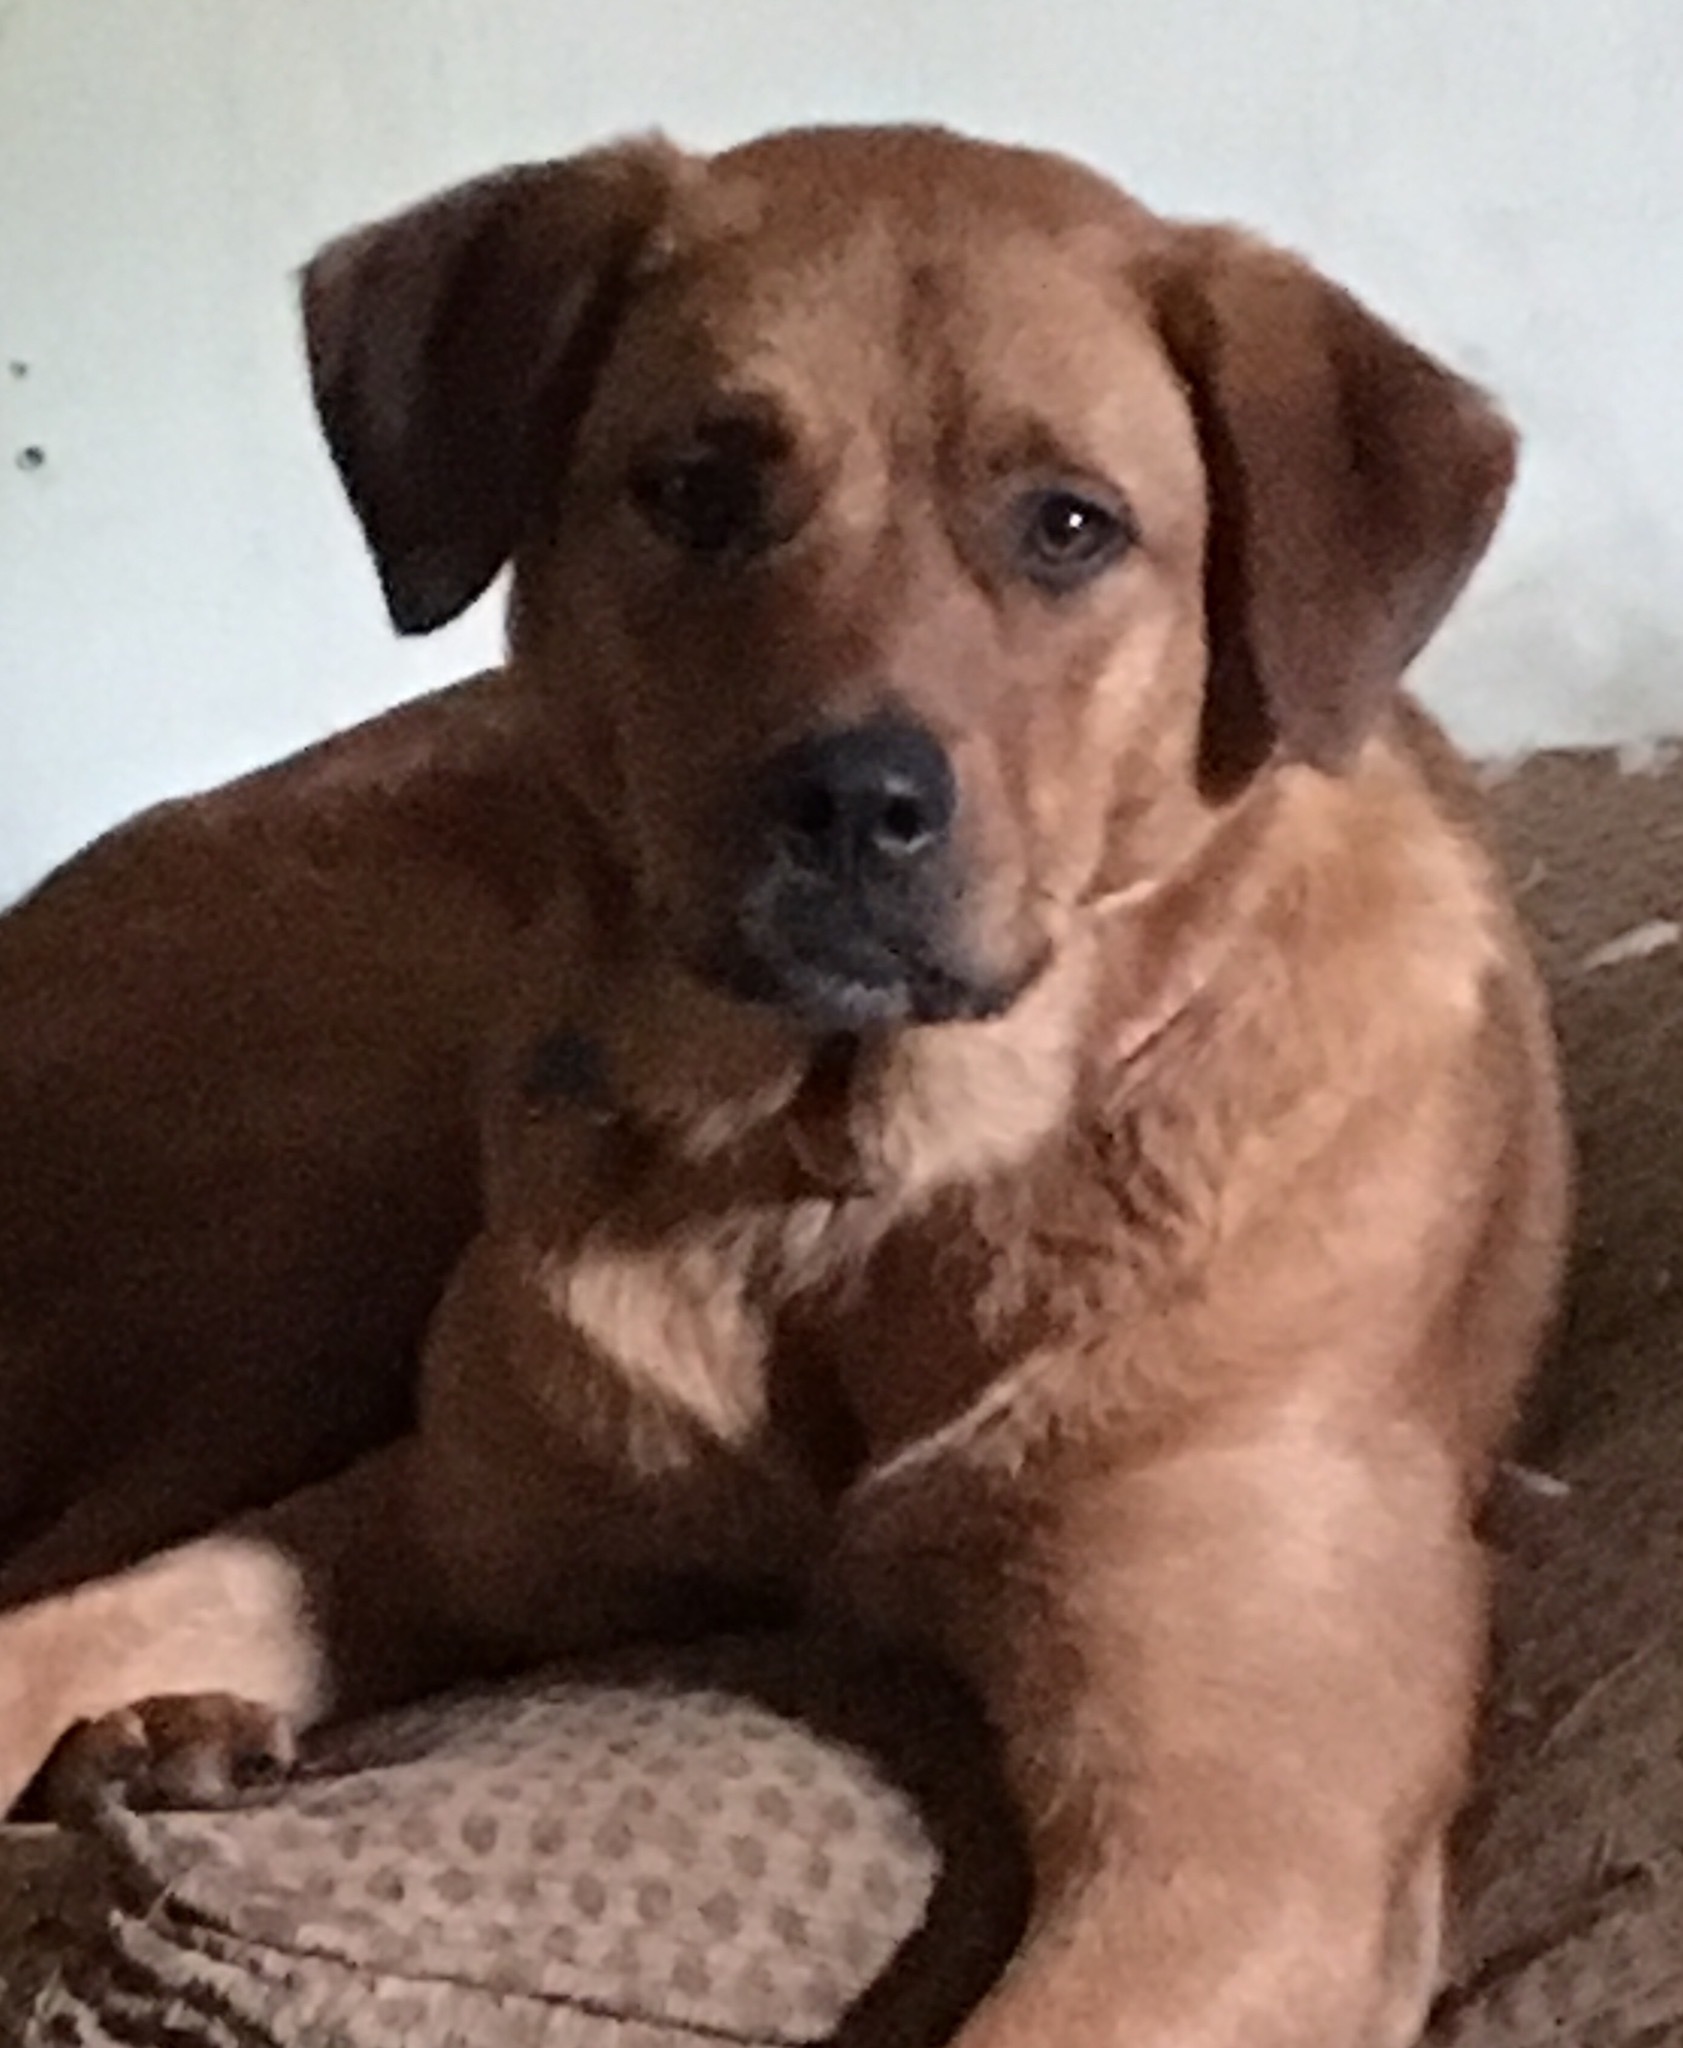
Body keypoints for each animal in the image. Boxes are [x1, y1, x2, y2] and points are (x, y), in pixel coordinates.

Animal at [0, 128, 1572, 2048]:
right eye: (694, 487)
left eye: (1066, 524)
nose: (847, 801)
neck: (845, 1187)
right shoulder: (448, 1519)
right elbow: (89, 1618)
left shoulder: (1240, 1827)